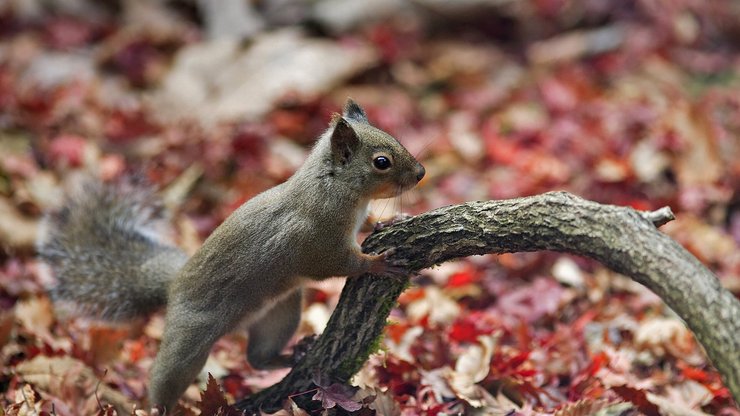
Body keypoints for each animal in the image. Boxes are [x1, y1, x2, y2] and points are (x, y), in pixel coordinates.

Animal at [37, 99, 424, 412]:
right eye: (382, 162)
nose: (421, 173)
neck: (334, 188)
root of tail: (173, 286)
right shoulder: (316, 241)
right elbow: (335, 264)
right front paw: (378, 263)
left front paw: (392, 220)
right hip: (189, 339)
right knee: (167, 375)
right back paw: (158, 407)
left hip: (279, 313)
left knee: (258, 358)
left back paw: (293, 353)